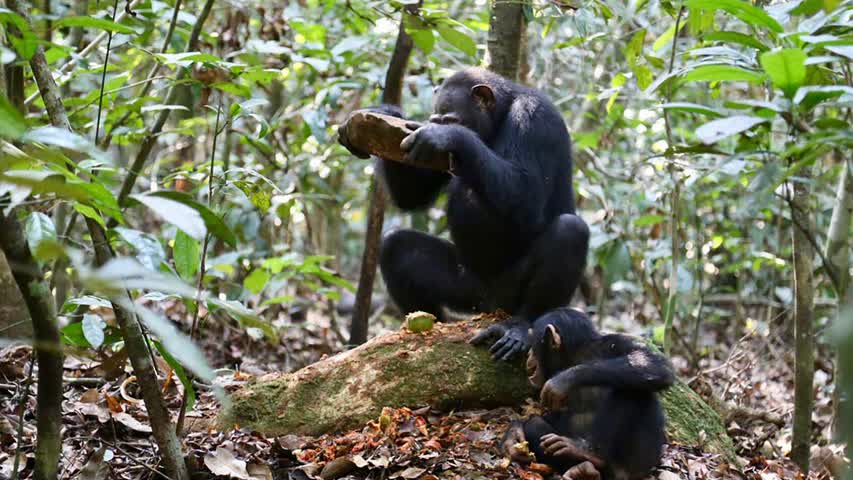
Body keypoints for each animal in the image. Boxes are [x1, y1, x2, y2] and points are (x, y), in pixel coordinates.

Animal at [336, 67, 588, 360]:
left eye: (451, 120)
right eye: (436, 119)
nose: (439, 128)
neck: (500, 116)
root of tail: (492, 306)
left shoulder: (535, 119)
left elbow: (528, 194)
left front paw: (450, 136)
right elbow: (412, 195)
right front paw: (384, 112)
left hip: (510, 294)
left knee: (570, 231)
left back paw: (519, 328)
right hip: (468, 290)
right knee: (396, 245)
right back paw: (428, 327)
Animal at [500, 308, 672, 480]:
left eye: (534, 343)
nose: (529, 355)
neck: (578, 357)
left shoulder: (618, 341)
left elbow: (651, 362)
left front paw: (563, 379)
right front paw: (513, 436)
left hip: (637, 465)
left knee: (633, 390)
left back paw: (590, 453)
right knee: (535, 425)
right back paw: (583, 467)